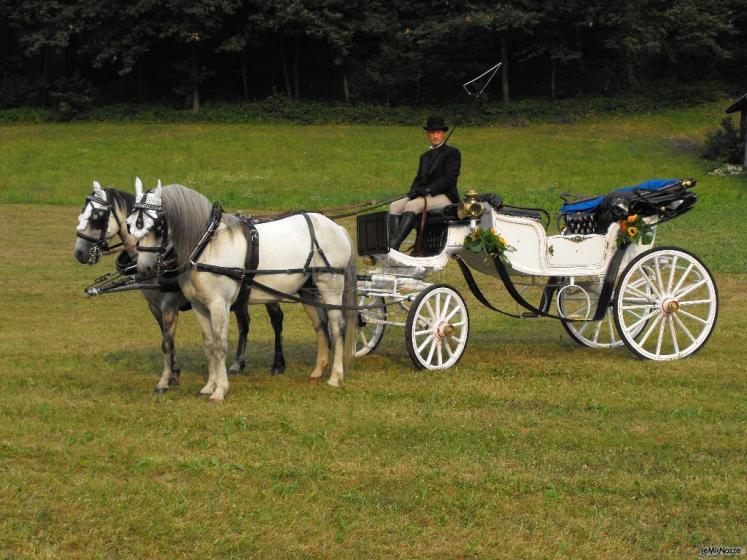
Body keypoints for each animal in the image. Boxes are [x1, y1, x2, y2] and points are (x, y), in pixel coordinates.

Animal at [75, 180, 286, 394]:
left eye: (96, 217)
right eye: (82, 211)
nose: (79, 253)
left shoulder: (170, 304)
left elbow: (167, 342)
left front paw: (164, 381)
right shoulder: (155, 306)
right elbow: (167, 340)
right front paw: (175, 373)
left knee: (276, 320)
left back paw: (277, 364)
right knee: (244, 322)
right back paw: (237, 363)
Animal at [126, 182, 356, 400]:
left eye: (157, 225)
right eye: (130, 224)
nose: (144, 270)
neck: (207, 245)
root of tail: (336, 227)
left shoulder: (218, 304)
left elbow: (220, 345)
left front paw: (220, 391)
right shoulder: (200, 306)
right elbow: (209, 345)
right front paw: (208, 387)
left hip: (331, 286)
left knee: (337, 328)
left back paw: (335, 376)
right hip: (308, 291)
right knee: (321, 326)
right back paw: (317, 372)